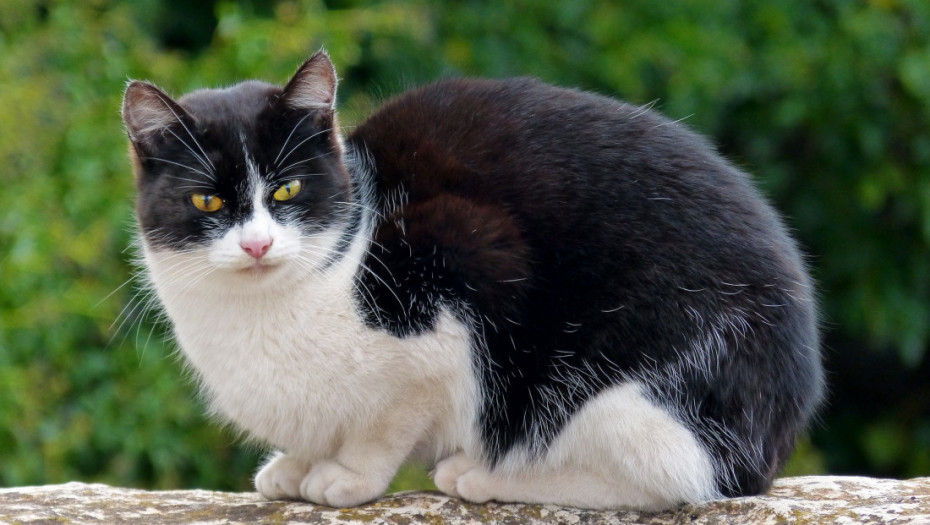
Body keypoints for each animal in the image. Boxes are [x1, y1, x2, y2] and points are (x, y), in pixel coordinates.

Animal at [121, 51, 820, 510]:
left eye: (287, 190)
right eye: (208, 202)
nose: (258, 243)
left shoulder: (465, 264)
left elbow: (392, 416)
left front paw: (346, 475)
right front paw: (297, 465)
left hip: (627, 385)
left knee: (673, 479)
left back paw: (484, 475)